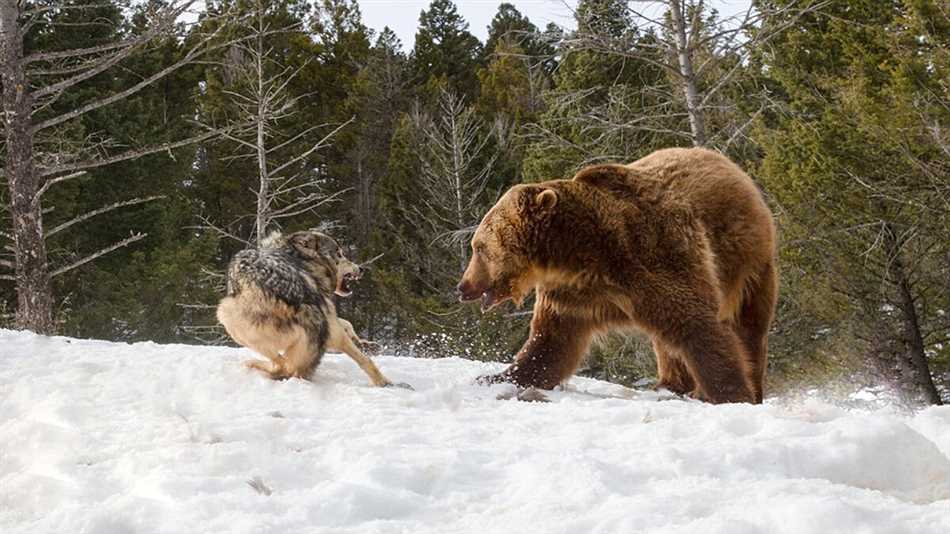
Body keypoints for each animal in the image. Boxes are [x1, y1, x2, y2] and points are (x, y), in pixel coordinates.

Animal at [458, 149, 776, 404]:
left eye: (479, 248)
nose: (463, 286)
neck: (581, 253)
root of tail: (727, 164)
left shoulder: (653, 253)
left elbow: (699, 324)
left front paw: (732, 394)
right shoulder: (573, 294)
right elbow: (550, 344)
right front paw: (496, 377)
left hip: (748, 260)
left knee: (748, 326)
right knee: (665, 342)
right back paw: (669, 385)